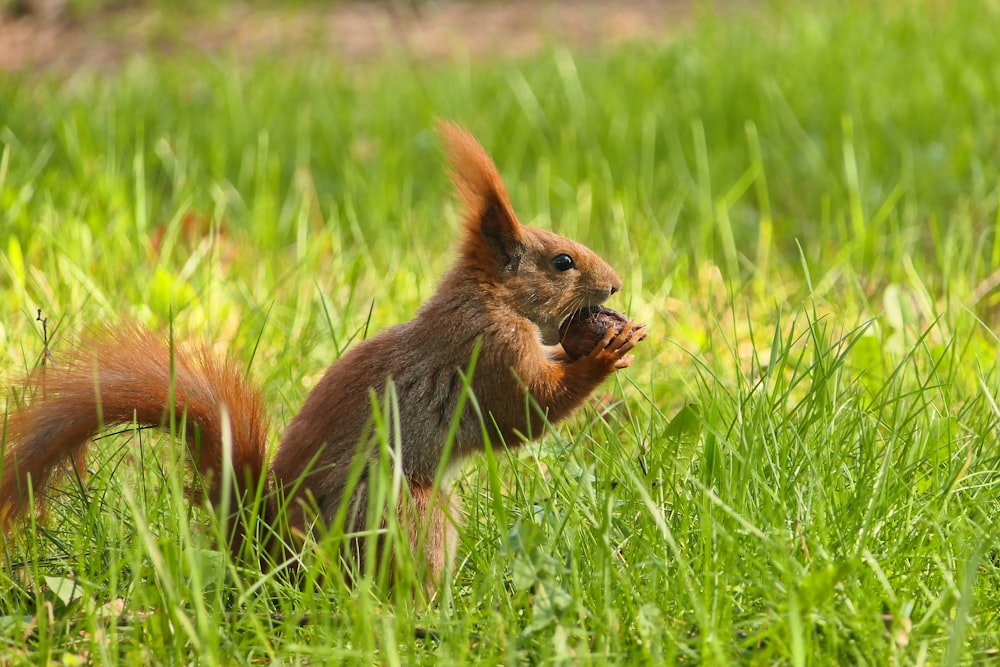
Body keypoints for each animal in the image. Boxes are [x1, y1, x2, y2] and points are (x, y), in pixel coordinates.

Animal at [0, 121, 648, 588]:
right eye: (562, 263)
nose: (615, 285)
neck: (487, 298)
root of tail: (267, 550)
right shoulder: (487, 351)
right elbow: (524, 411)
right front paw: (604, 354)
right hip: (404, 509)